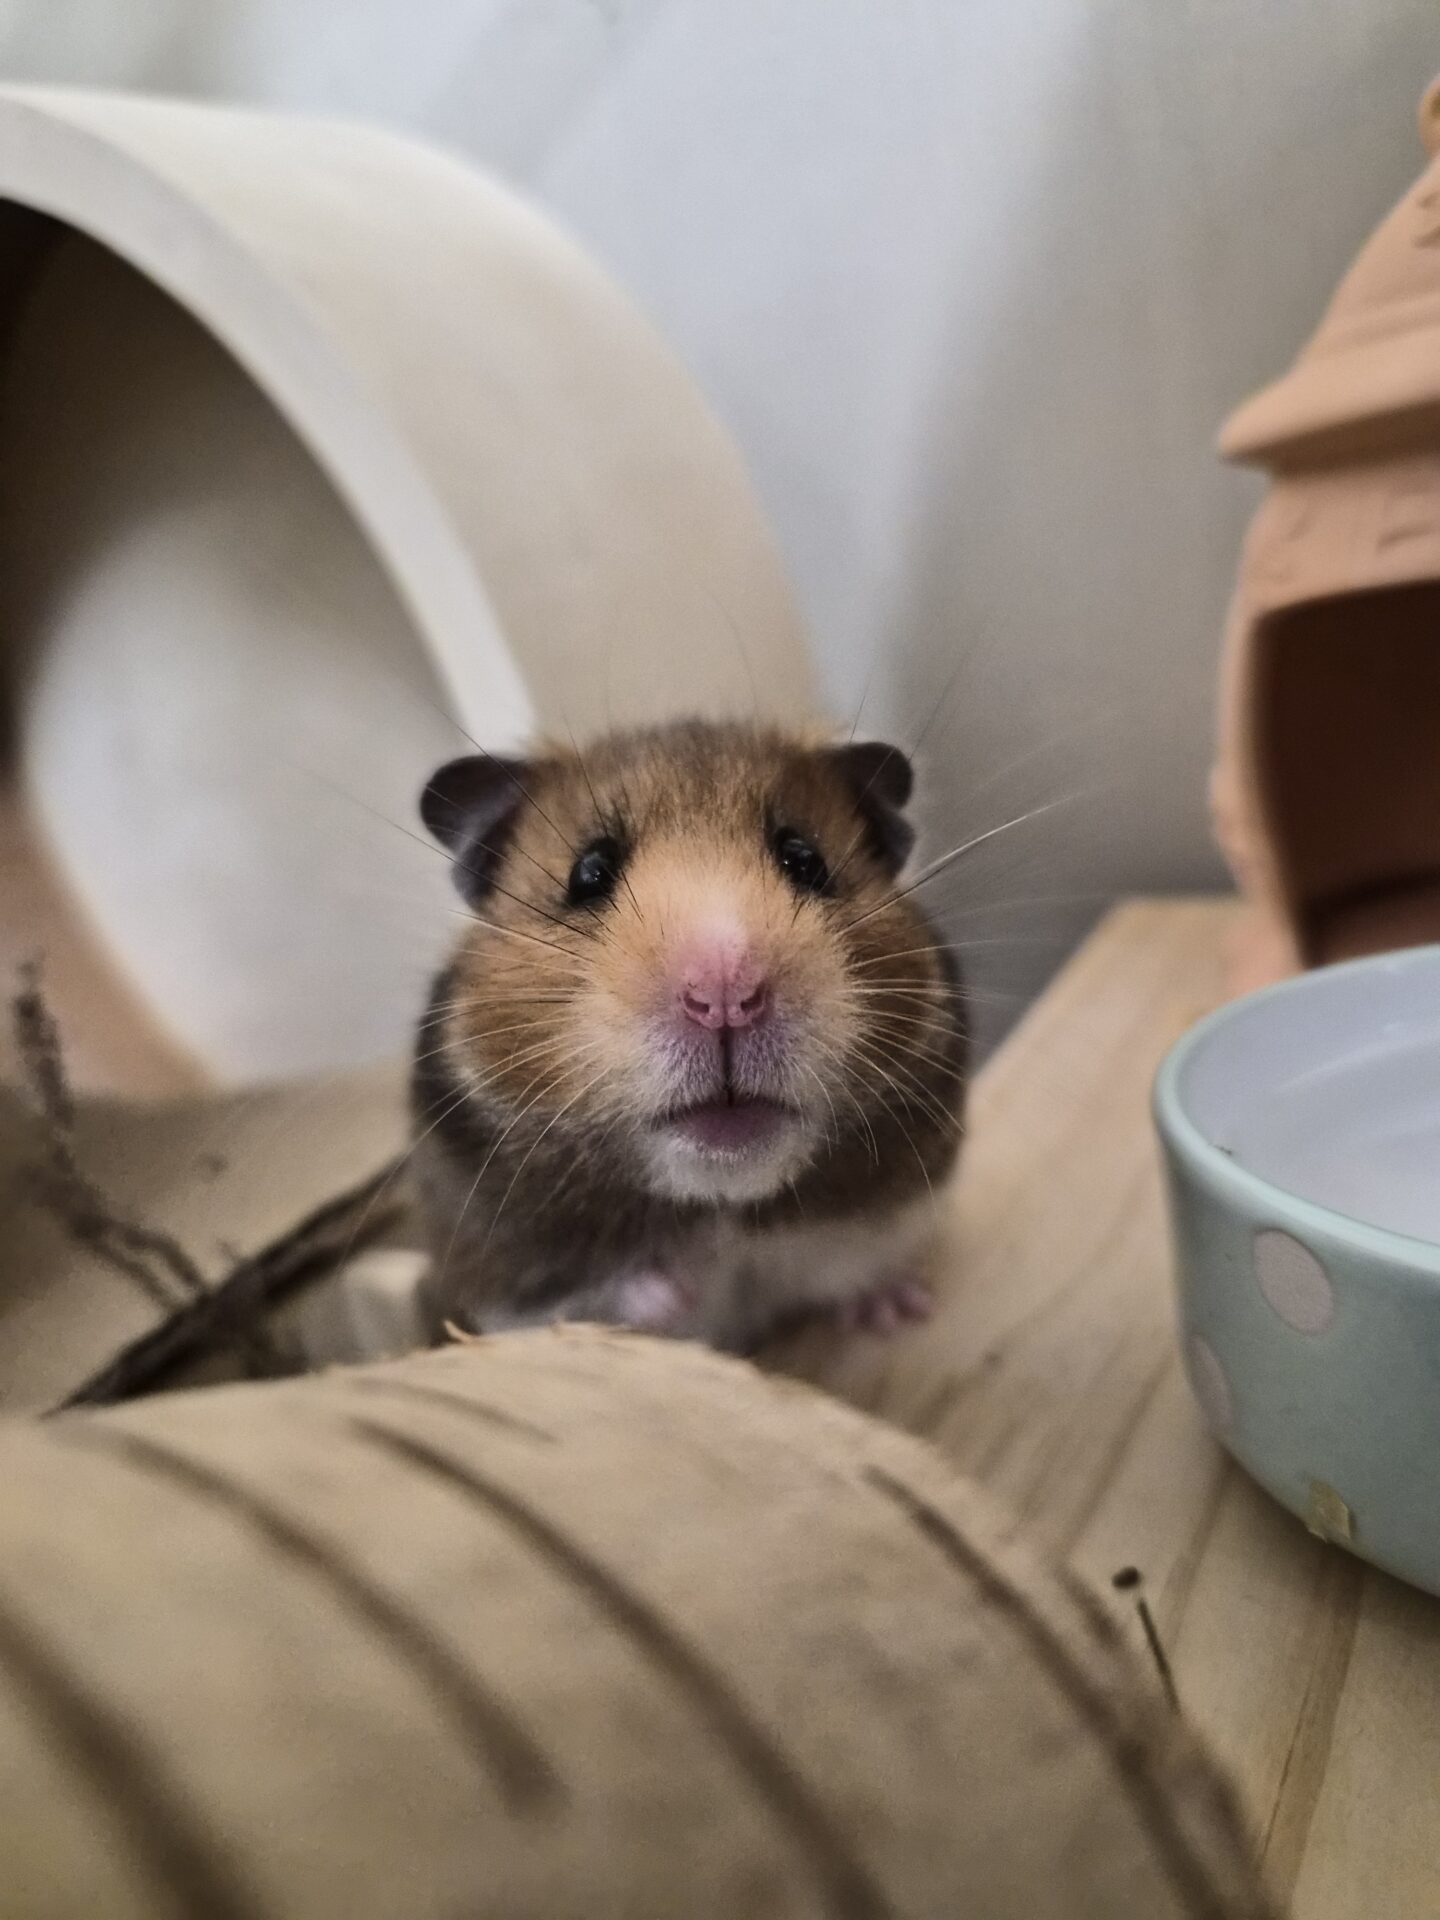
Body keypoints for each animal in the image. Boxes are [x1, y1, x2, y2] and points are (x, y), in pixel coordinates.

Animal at [411, 719, 965, 1352]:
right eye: (589, 874)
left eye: (805, 860)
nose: (724, 996)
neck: (722, 1210)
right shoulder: (508, 1281)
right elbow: (598, 1298)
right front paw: (675, 1293)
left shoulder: (885, 1220)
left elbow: (854, 1268)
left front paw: (903, 1309)